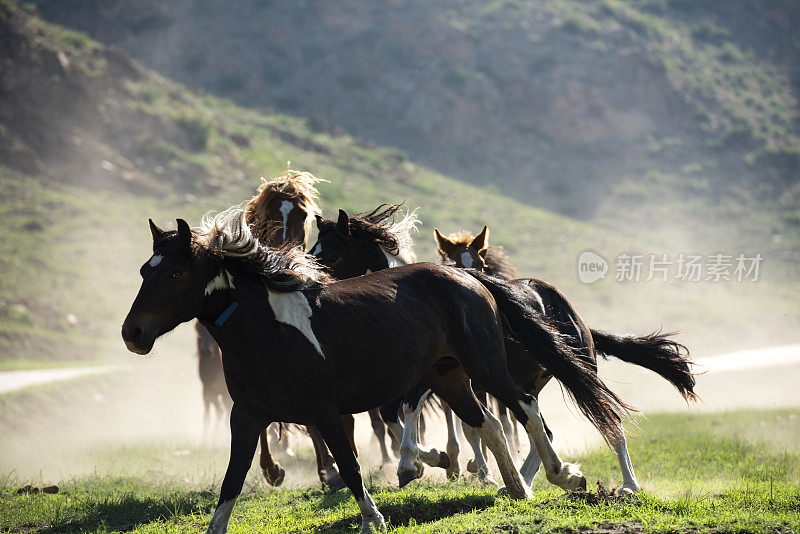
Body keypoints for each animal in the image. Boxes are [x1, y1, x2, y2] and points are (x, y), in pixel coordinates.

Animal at [122, 208, 636, 534]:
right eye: (145, 271)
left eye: (174, 274)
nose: (133, 333)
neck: (270, 330)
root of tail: (468, 276)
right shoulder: (246, 416)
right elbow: (232, 479)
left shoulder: (328, 412)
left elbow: (351, 466)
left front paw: (376, 516)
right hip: (450, 376)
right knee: (488, 424)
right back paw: (515, 486)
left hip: (485, 366)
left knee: (527, 412)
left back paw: (565, 477)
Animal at [432, 226, 700, 494]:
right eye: (451, 262)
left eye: (481, 262)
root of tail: (578, 318)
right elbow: (474, 427)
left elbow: (479, 426)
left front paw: (481, 473)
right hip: (528, 383)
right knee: (539, 427)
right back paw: (528, 480)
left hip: (577, 373)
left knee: (608, 420)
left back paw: (628, 484)